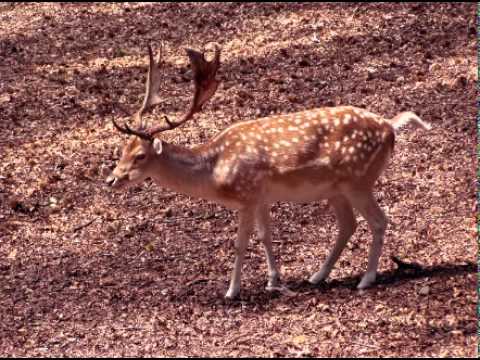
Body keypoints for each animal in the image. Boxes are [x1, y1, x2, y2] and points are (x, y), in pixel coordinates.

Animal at [106, 43, 432, 300]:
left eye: (140, 156)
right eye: (121, 150)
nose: (112, 179)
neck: (214, 172)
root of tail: (391, 127)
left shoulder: (247, 196)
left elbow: (240, 243)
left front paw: (232, 291)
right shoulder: (262, 197)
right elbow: (266, 235)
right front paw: (274, 280)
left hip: (359, 180)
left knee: (378, 220)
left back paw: (366, 279)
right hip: (336, 188)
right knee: (348, 224)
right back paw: (317, 276)